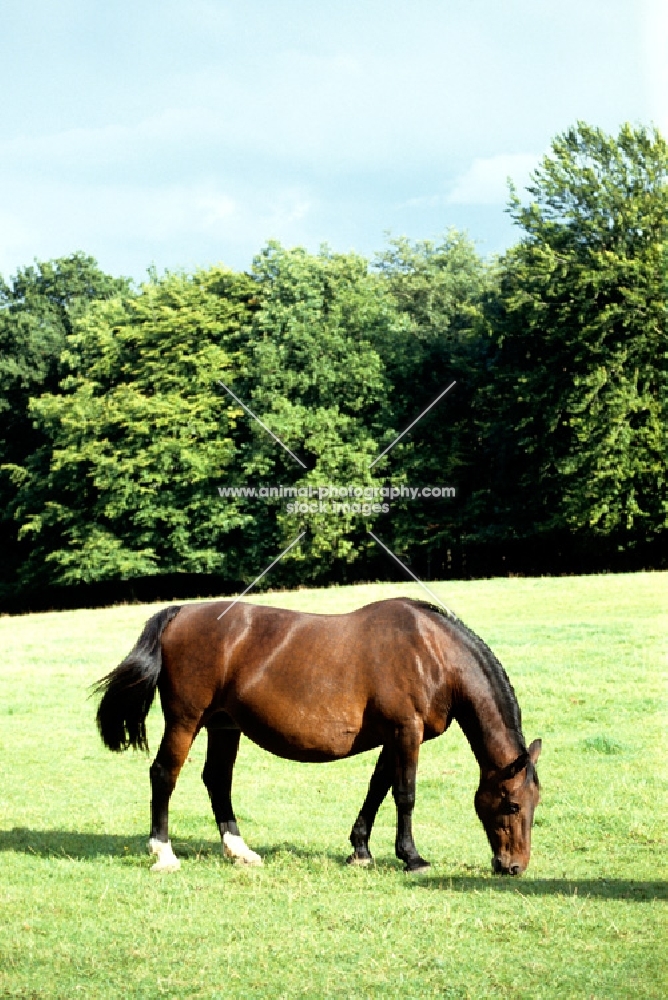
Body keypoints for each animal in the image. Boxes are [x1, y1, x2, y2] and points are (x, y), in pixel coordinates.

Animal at [95, 600, 544, 876]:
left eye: (534, 803)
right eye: (513, 804)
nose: (514, 866)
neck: (430, 652)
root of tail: (182, 612)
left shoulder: (392, 737)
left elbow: (377, 789)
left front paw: (360, 850)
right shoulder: (406, 731)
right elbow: (405, 795)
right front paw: (412, 856)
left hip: (224, 726)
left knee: (217, 780)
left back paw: (239, 850)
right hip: (185, 721)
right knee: (164, 775)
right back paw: (163, 853)